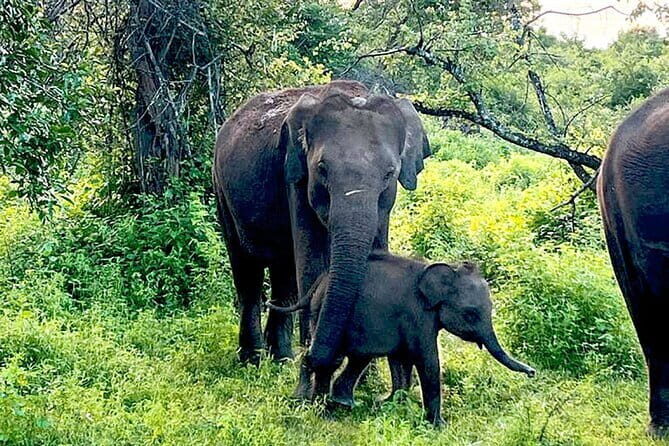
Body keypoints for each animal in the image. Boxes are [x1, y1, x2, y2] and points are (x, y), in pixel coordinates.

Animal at [212, 80, 430, 381]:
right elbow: (312, 261)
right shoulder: (296, 177)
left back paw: (281, 360)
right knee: (248, 271)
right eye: (322, 168)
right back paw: (253, 361)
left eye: (389, 174)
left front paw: (365, 377)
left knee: (284, 274)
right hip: (222, 191)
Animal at [268, 251, 535, 426]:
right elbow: (426, 361)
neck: (447, 269)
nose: (533, 372)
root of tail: (321, 281)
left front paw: (392, 404)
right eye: (470, 314)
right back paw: (323, 407)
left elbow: (400, 359)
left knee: (357, 359)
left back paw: (344, 403)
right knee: (333, 356)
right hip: (325, 313)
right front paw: (438, 426)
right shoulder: (417, 315)